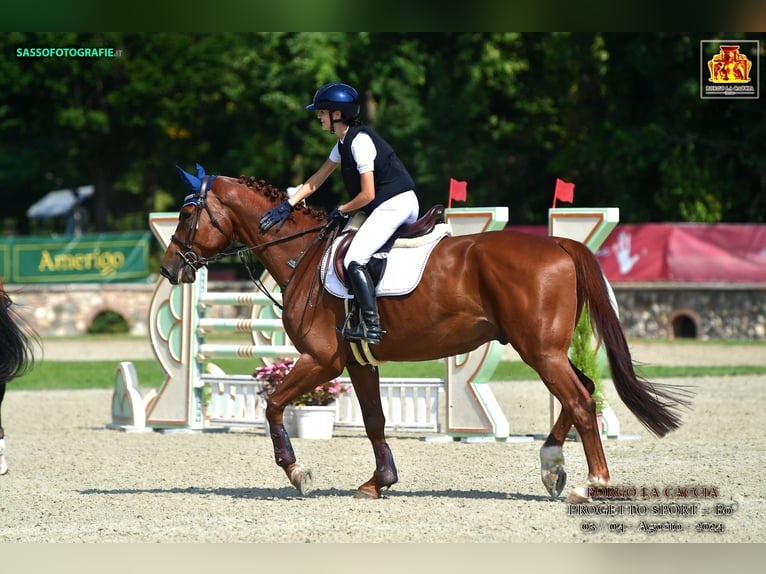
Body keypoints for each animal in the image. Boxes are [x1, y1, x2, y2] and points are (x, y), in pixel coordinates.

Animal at [160, 172, 688, 504]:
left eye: (186, 217)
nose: (168, 270)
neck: (301, 253)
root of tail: (559, 242)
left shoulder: (321, 360)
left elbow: (272, 405)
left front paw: (297, 471)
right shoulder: (357, 361)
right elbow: (374, 419)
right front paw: (379, 482)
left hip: (538, 351)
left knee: (578, 398)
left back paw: (590, 483)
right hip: (545, 350)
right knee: (585, 390)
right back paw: (552, 464)